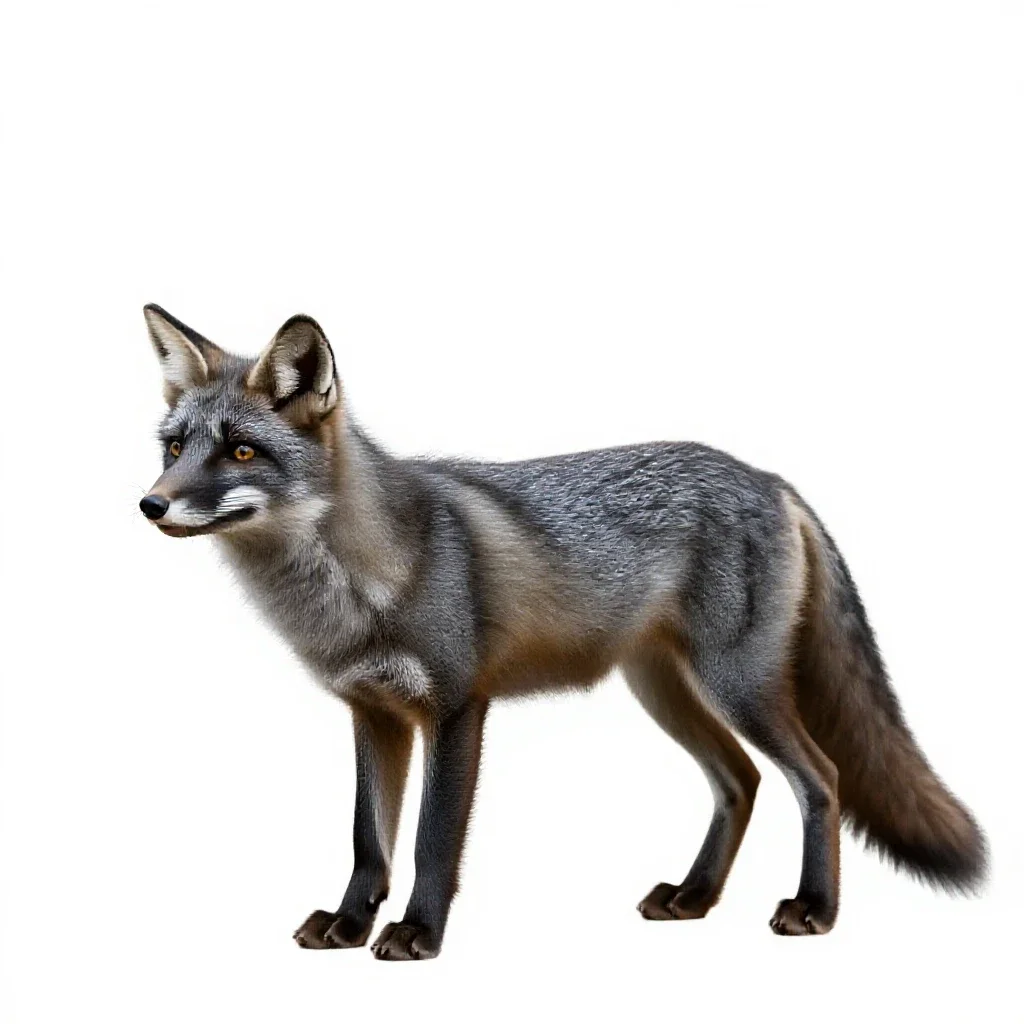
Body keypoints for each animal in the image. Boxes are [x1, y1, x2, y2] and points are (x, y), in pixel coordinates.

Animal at [140, 303, 986, 960]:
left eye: (241, 451)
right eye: (175, 447)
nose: (150, 504)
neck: (356, 587)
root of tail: (767, 477)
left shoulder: (455, 707)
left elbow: (430, 841)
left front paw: (418, 933)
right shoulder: (373, 713)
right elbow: (367, 840)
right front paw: (350, 925)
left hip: (738, 686)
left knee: (822, 780)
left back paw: (815, 909)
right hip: (667, 693)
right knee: (740, 781)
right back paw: (694, 896)